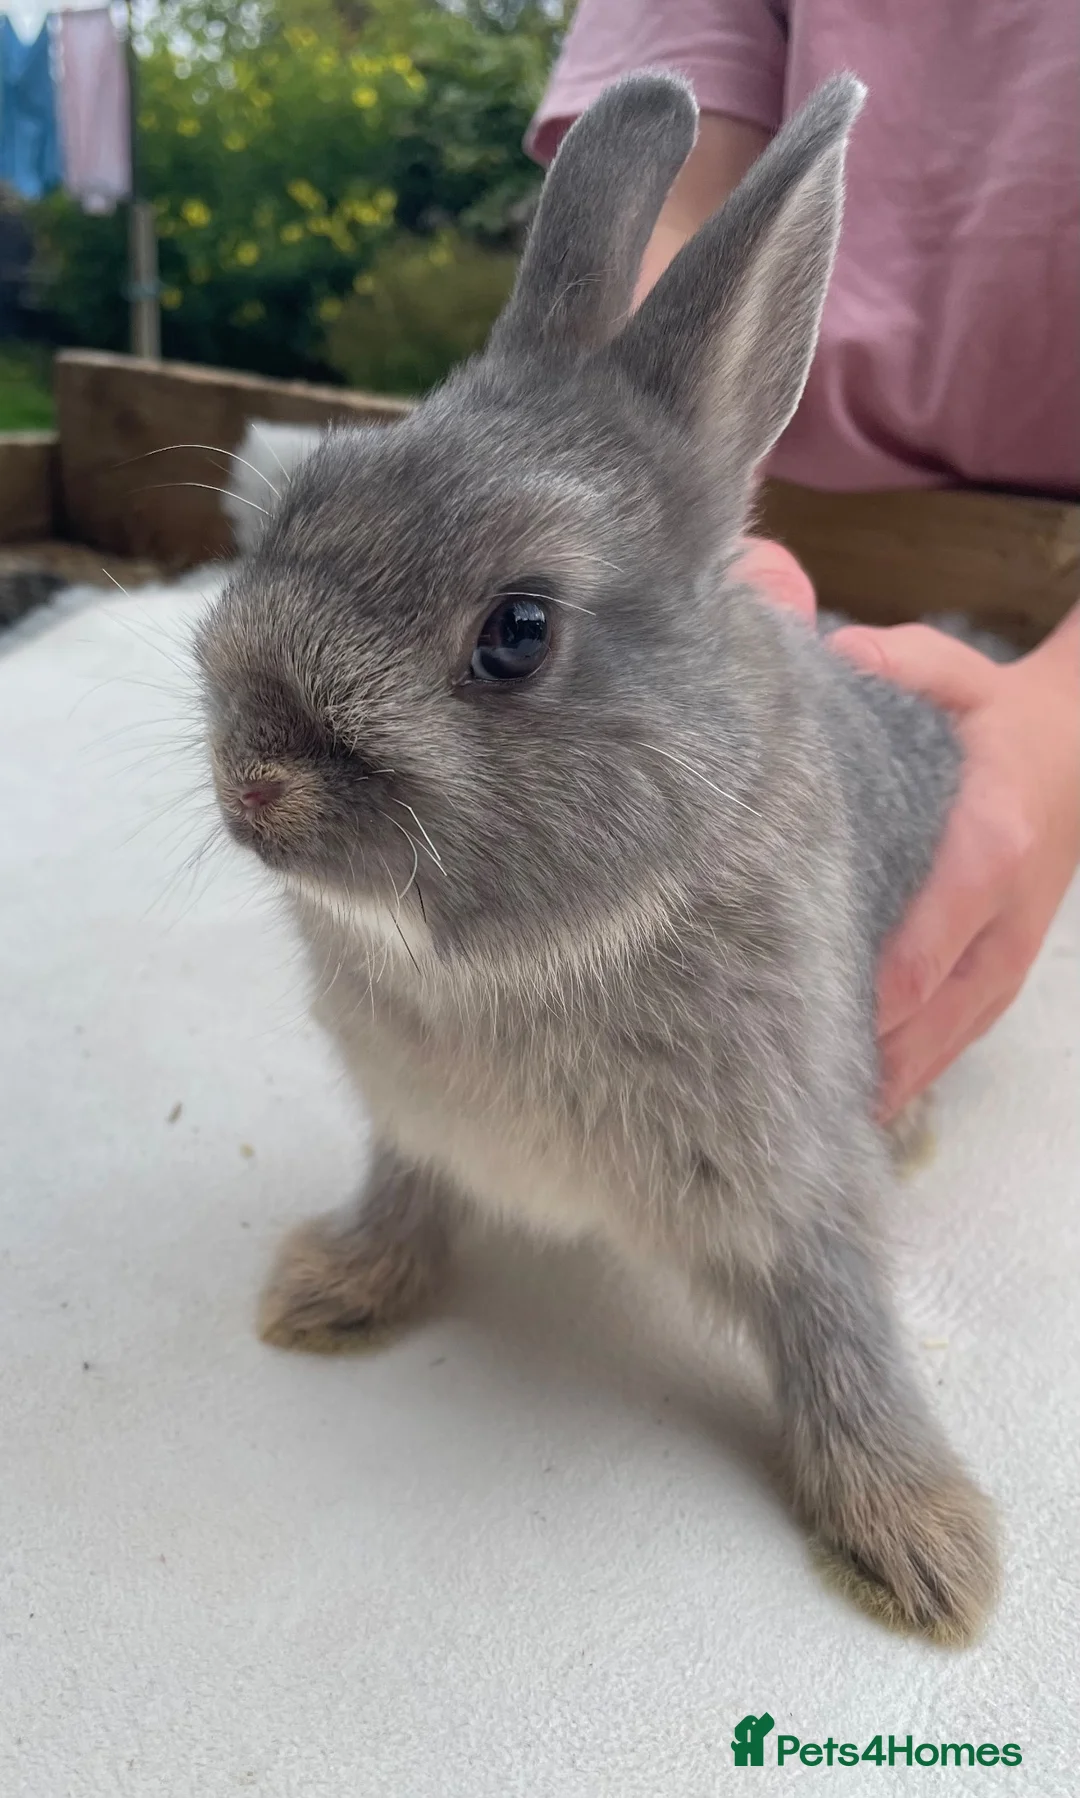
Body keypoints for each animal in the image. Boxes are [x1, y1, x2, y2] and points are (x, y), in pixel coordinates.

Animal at [196, 71, 999, 1645]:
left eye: (518, 632)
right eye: (301, 511)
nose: (255, 787)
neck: (527, 958)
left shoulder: (795, 1181)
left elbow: (841, 1330)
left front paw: (927, 1548)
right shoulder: (414, 1127)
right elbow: (403, 1195)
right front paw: (330, 1289)